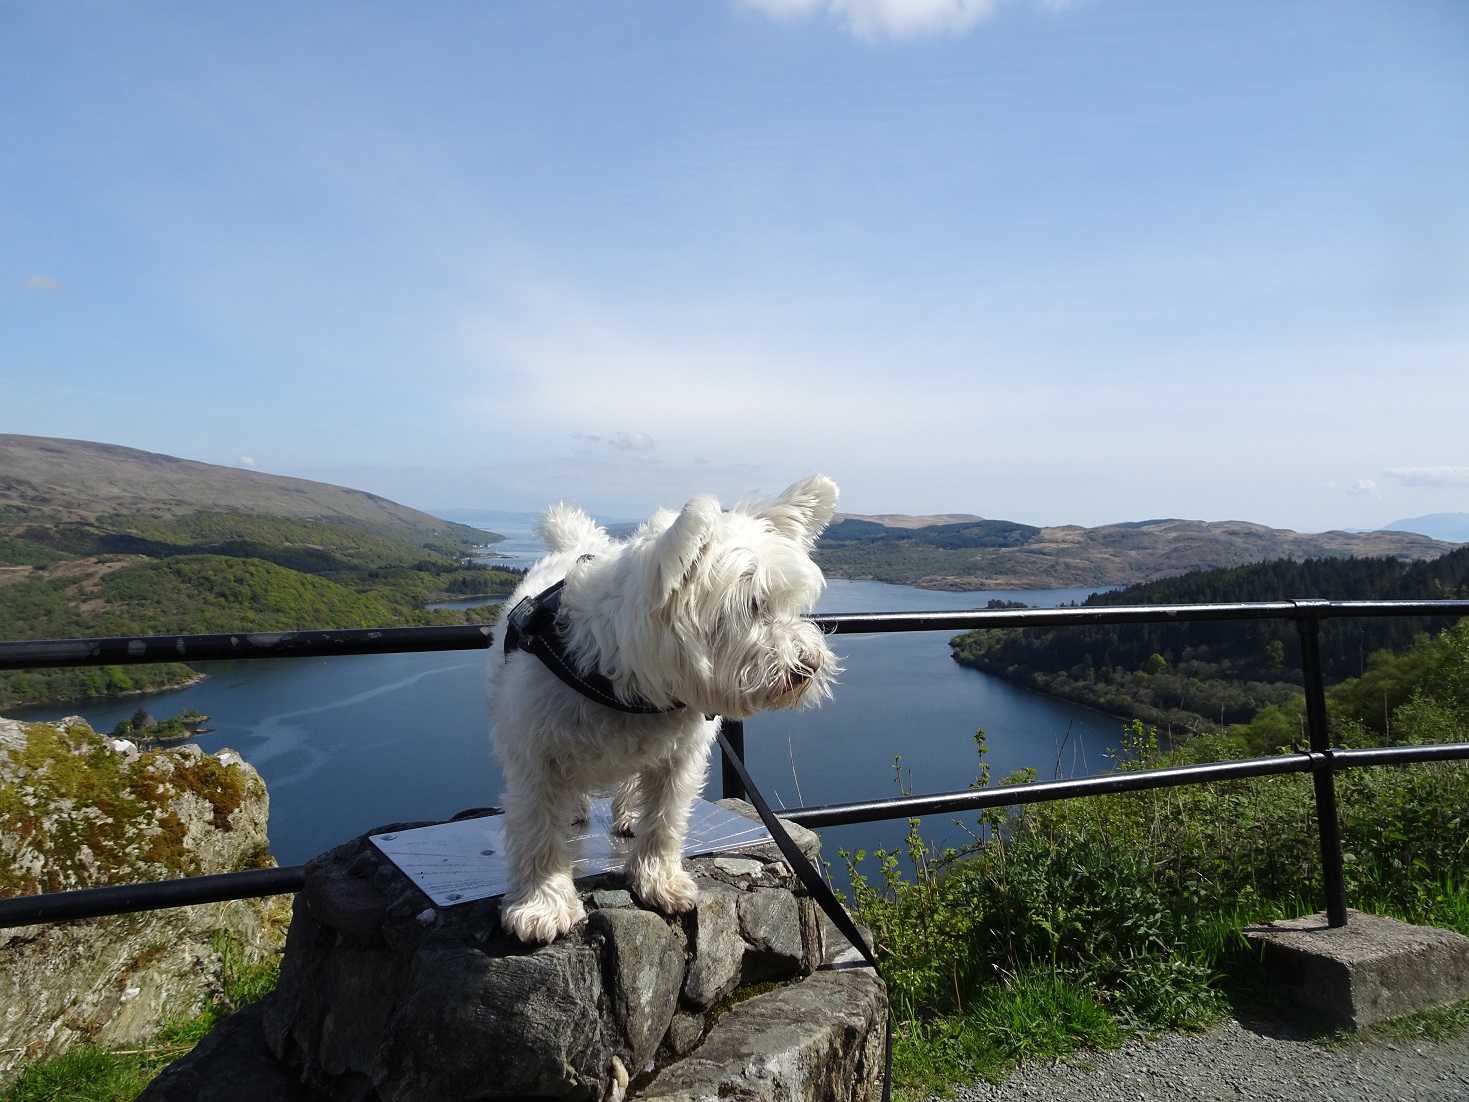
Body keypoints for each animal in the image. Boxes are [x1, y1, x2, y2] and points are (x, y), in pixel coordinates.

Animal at [490, 473, 846, 940]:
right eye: (752, 604)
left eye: (789, 603)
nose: (810, 665)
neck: (628, 687)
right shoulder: (535, 757)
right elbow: (537, 832)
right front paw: (542, 906)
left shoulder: (680, 758)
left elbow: (664, 819)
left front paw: (658, 882)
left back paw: (627, 815)